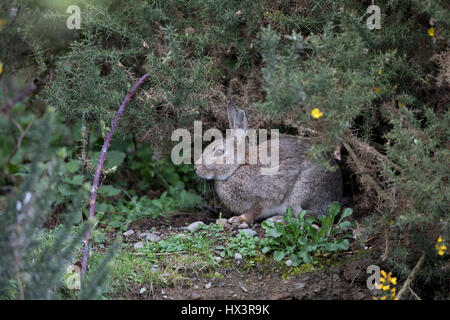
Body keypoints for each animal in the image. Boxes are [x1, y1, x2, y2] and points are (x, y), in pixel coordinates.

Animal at [194, 101, 344, 224]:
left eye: (219, 152)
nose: (196, 168)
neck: (239, 166)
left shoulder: (263, 197)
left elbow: (254, 211)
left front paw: (239, 219)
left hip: (302, 193)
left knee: (308, 217)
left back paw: (277, 219)